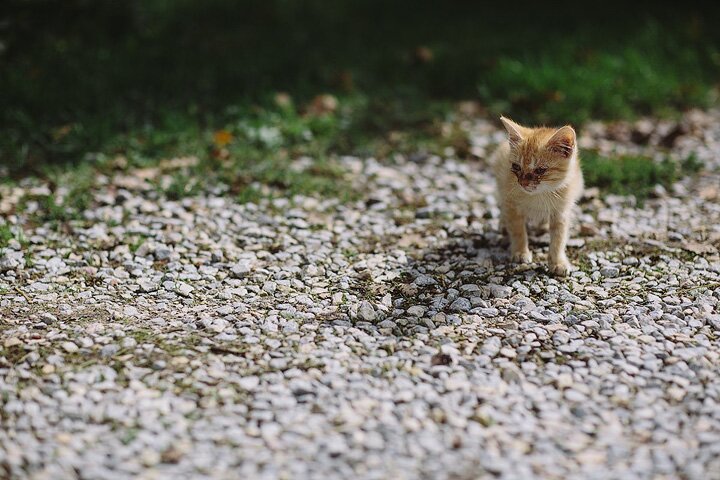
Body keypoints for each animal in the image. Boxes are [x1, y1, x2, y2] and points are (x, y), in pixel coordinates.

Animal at [490, 115, 584, 278]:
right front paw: (520, 252)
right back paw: (503, 224)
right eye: (516, 167)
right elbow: (518, 231)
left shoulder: (561, 213)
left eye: (540, 170)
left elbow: (559, 239)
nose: (523, 183)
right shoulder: (512, 205)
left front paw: (558, 262)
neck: (540, 196)